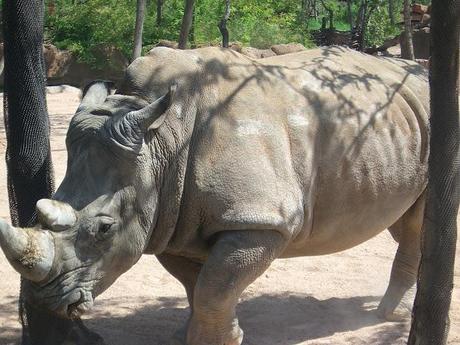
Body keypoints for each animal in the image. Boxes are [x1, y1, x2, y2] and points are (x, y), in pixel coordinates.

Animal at [1, 46, 430, 344]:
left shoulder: (258, 220)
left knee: (417, 225)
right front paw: (194, 336)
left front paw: (218, 339)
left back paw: (389, 316)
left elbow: (214, 287)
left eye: (104, 229)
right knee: (405, 218)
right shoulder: (172, 217)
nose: (46, 301)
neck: (159, 143)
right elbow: (197, 285)